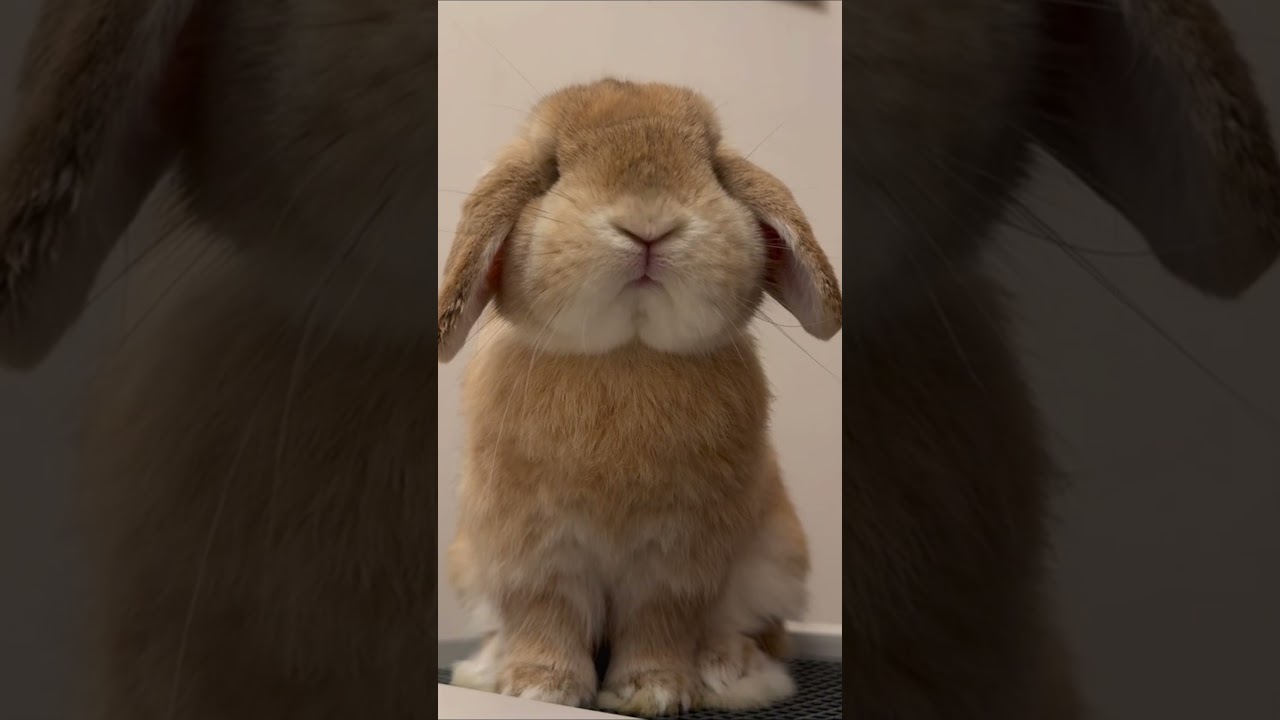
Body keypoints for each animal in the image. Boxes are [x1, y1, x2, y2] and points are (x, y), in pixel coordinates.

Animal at [436, 79, 840, 716]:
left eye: (713, 167)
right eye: (551, 170)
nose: (648, 224)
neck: (628, 353)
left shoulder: (678, 563)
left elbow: (661, 624)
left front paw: (655, 691)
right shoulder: (533, 554)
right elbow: (545, 616)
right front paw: (540, 686)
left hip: (777, 557)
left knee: (761, 632)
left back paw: (729, 668)